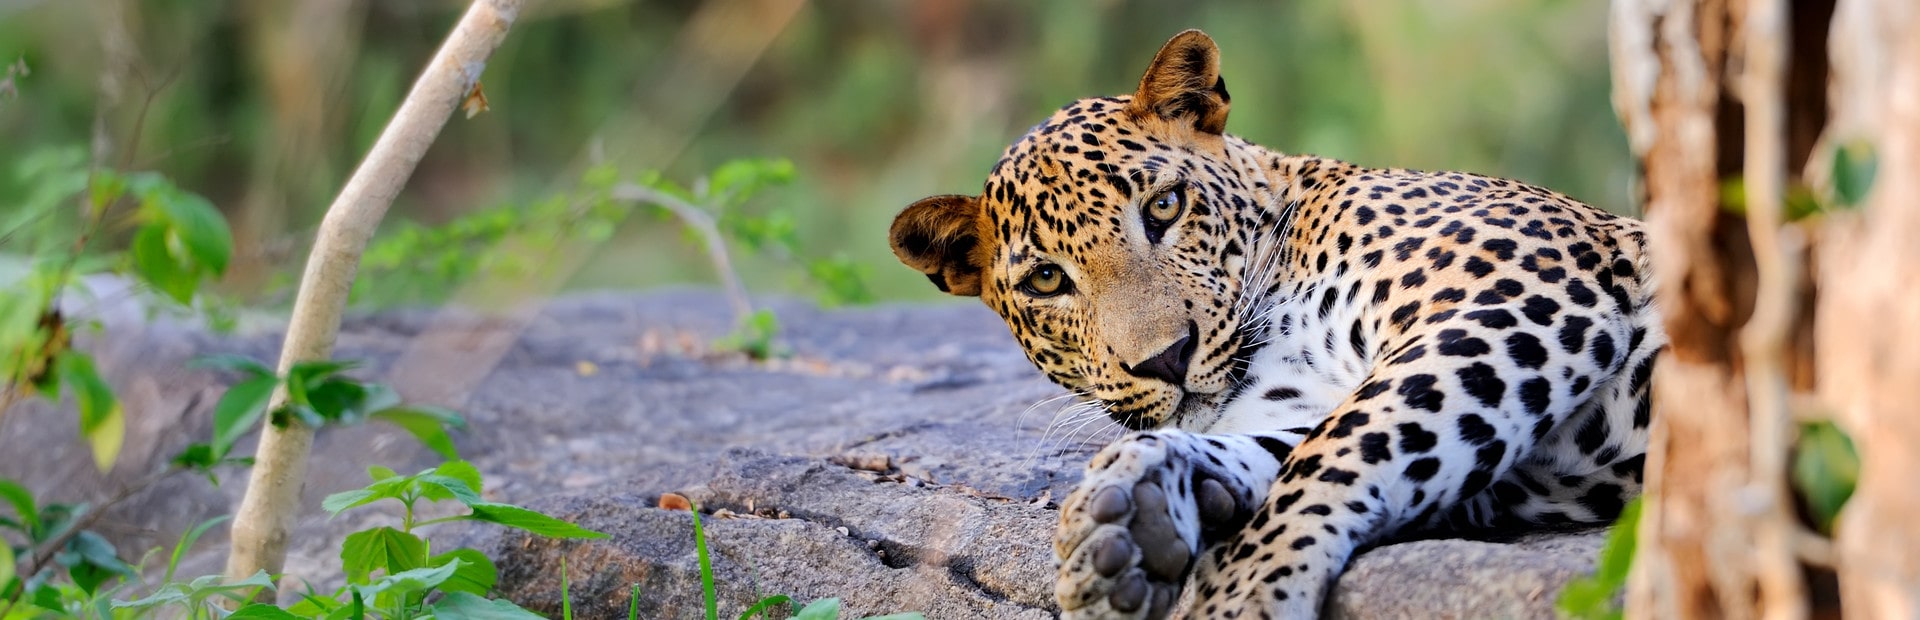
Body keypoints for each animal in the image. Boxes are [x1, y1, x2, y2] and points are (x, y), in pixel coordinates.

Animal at [887, 29, 1662, 619]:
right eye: (1046, 280)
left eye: (1165, 207)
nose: (1167, 358)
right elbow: (1296, 443)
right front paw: (1134, 511)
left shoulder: (1514, 292)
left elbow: (1341, 447)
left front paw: (1240, 592)